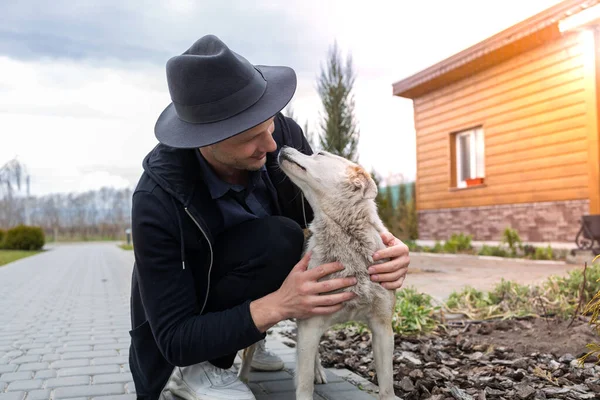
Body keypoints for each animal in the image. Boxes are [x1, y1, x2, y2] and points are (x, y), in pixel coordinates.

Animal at [237, 147, 396, 400]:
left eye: (319, 153)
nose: (282, 148)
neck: (346, 238)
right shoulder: (309, 326)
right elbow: (303, 386)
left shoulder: (382, 329)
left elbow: (387, 386)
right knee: (247, 353)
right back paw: (242, 379)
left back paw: (319, 371)